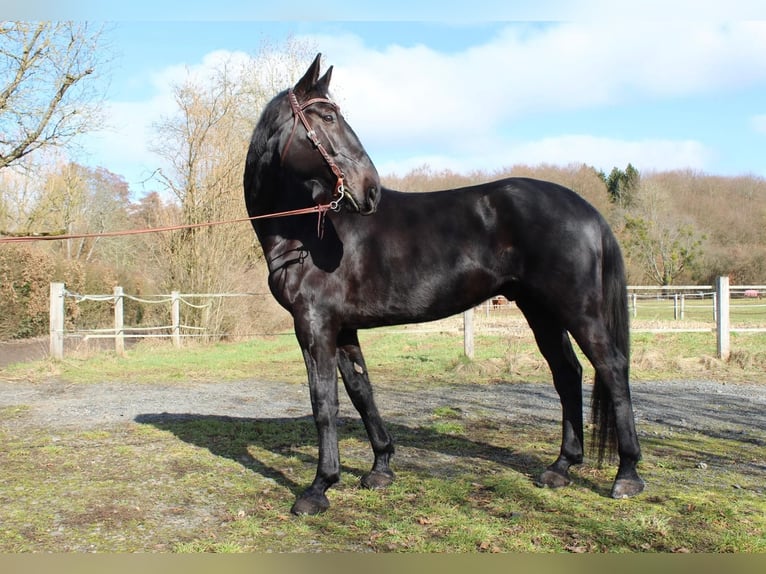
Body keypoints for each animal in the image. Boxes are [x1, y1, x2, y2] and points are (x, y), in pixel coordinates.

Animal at [243, 54, 644, 515]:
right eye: (326, 116)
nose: (371, 190)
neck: (305, 230)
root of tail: (586, 210)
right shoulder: (341, 328)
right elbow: (362, 391)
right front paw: (381, 468)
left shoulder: (314, 325)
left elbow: (324, 403)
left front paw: (318, 488)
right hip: (540, 310)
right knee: (567, 372)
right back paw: (561, 467)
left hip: (578, 308)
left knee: (611, 367)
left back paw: (627, 475)